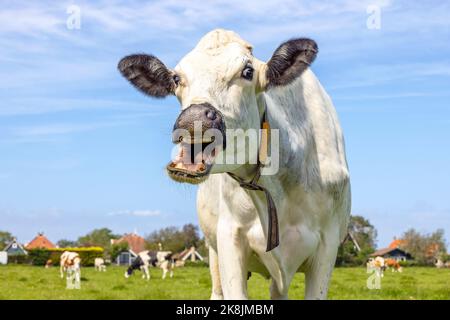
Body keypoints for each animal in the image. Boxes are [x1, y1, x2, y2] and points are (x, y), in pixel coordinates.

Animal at [118, 28, 350, 300]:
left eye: (247, 72)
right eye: (176, 78)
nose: (193, 119)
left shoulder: (327, 247)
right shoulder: (229, 237)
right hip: (213, 252)